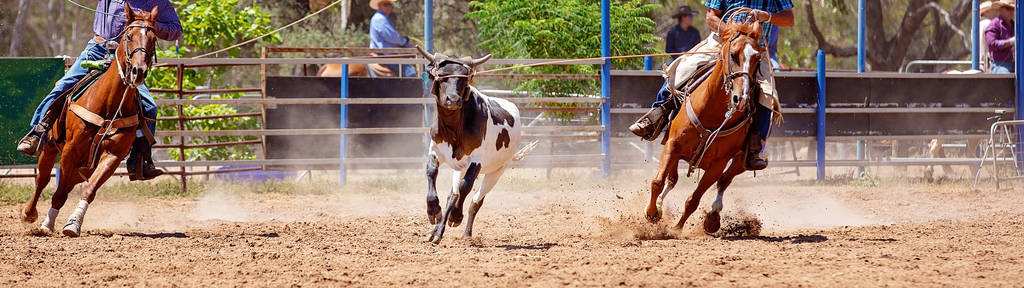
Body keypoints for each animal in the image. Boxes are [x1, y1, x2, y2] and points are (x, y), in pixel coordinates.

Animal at [23, 5, 158, 236]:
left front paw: (73, 223)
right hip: (50, 147)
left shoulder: (112, 156)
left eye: (153, 39)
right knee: (42, 179)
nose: (138, 71)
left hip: (84, 166)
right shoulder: (70, 151)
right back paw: (29, 213)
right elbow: (59, 193)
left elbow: (89, 189)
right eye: (129, 36)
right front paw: (48, 224)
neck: (109, 103)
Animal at [413, 45, 540, 242]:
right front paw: (433, 210)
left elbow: (466, 186)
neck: (454, 129)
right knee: (453, 195)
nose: (453, 99)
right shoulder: (435, 150)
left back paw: (465, 232)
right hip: (460, 168)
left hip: (497, 171)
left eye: (464, 79)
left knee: (475, 201)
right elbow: (432, 173)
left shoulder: (476, 160)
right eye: (441, 76)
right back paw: (437, 232)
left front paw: (456, 216)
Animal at [643, 19, 765, 233]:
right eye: (733, 54)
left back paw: (713, 217)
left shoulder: (718, 164)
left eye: (758, 59)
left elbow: (694, 199)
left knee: (724, 181)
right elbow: (657, 182)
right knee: (672, 180)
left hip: (741, 160)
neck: (712, 111)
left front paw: (677, 229)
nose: (741, 99)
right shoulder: (673, 144)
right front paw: (652, 213)